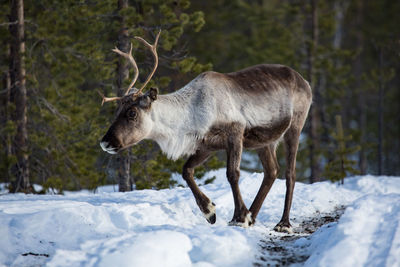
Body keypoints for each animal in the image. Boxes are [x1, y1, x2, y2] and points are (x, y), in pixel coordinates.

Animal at [100, 30, 312, 232]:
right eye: (117, 110)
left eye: (132, 113)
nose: (105, 142)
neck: (190, 113)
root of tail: (305, 81)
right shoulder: (206, 146)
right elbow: (186, 171)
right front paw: (210, 210)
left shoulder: (235, 134)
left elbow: (232, 174)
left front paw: (239, 217)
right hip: (264, 142)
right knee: (271, 171)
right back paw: (253, 215)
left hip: (295, 127)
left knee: (290, 173)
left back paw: (283, 223)